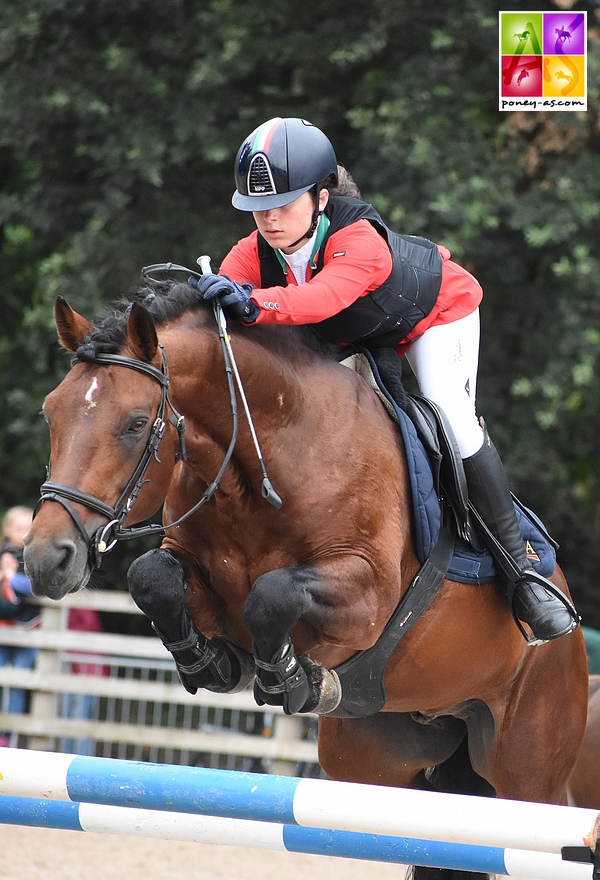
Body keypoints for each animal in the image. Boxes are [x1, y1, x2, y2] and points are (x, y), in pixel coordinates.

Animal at [22, 276, 584, 880]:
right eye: (51, 413)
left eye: (132, 424)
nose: (45, 560)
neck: (264, 460)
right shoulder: (187, 562)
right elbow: (153, 577)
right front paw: (213, 663)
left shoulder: (365, 593)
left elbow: (272, 596)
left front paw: (289, 678)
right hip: (379, 764)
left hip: (529, 771)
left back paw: (538, 604)